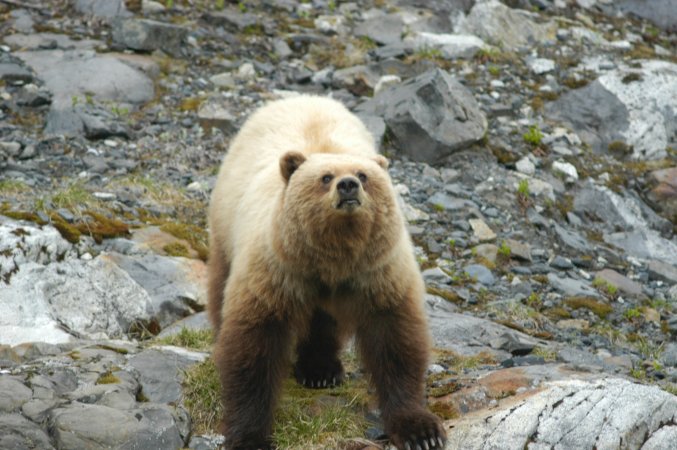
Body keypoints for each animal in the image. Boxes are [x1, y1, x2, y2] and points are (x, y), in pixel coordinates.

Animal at [209, 96, 446, 450]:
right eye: (324, 177)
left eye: (363, 175)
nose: (347, 185)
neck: (334, 256)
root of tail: (299, 96)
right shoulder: (276, 270)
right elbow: (254, 347)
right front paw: (250, 437)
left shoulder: (377, 273)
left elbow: (395, 341)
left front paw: (421, 431)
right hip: (226, 222)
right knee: (220, 283)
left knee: (323, 320)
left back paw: (321, 369)